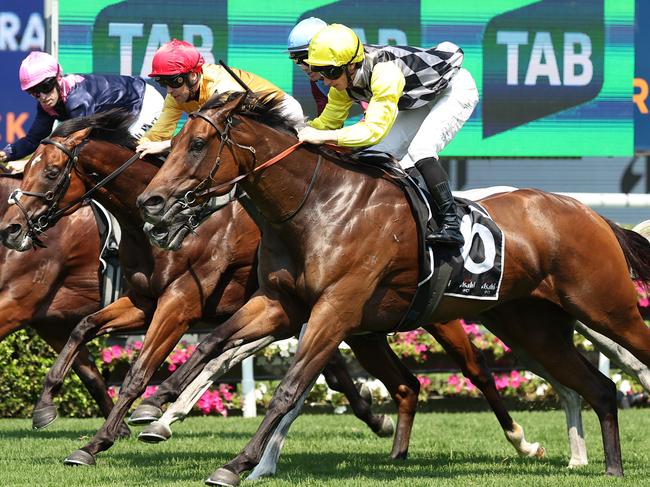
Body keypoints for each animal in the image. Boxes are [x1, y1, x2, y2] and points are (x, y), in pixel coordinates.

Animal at [0, 111, 540, 472]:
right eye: (24, 171)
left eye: (51, 171)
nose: (11, 229)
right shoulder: (142, 302)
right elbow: (85, 330)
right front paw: (53, 412)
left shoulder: (180, 303)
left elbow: (138, 372)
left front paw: (118, 427)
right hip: (364, 326)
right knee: (403, 384)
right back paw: (390, 441)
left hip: (437, 316)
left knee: (475, 370)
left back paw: (523, 441)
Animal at [134, 91, 648, 484]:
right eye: (172, 141)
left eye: (198, 144)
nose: (150, 202)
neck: (317, 207)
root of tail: (588, 212)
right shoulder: (280, 303)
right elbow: (213, 343)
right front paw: (156, 404)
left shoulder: (335, 309)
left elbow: (288, 389)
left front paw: (236, 465)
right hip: (531, 328)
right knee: (600, 388)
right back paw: (611, 468)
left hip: (607, 308)